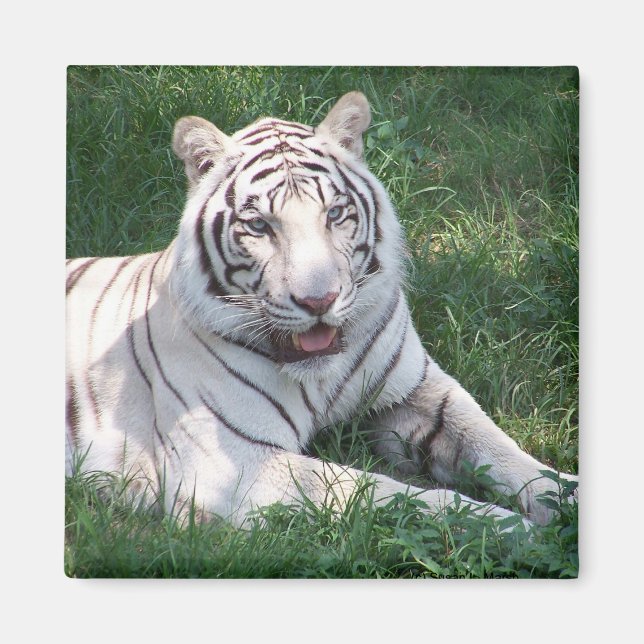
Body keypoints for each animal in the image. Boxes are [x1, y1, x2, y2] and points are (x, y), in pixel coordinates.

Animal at [66, 91, 577, 529]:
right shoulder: (234, 465)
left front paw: (564, 500)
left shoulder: (415, 391)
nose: (318, 302)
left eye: (333, 214)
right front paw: (510, 528)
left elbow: (500, 449)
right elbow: (384, 493)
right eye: (259, 226)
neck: (320, 374)